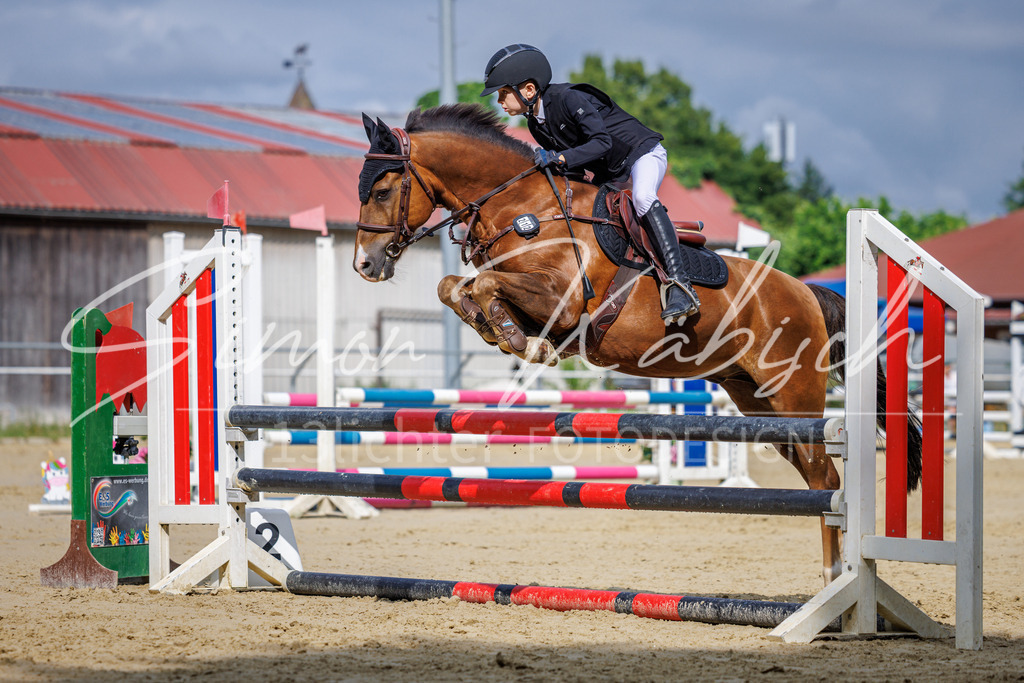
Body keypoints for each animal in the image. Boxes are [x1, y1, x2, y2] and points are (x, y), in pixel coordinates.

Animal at [352, 103, 922, 585]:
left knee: (827, 476)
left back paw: (836, 580)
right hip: (757, 401)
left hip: (794, 395)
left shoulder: (563, 300)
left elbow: (485, 284)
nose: (365, 264)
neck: (523, 206)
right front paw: (496, 328)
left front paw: (518, 340)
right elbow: (454, 286)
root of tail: (806, 290)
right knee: (815, 478)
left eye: (382, 191)